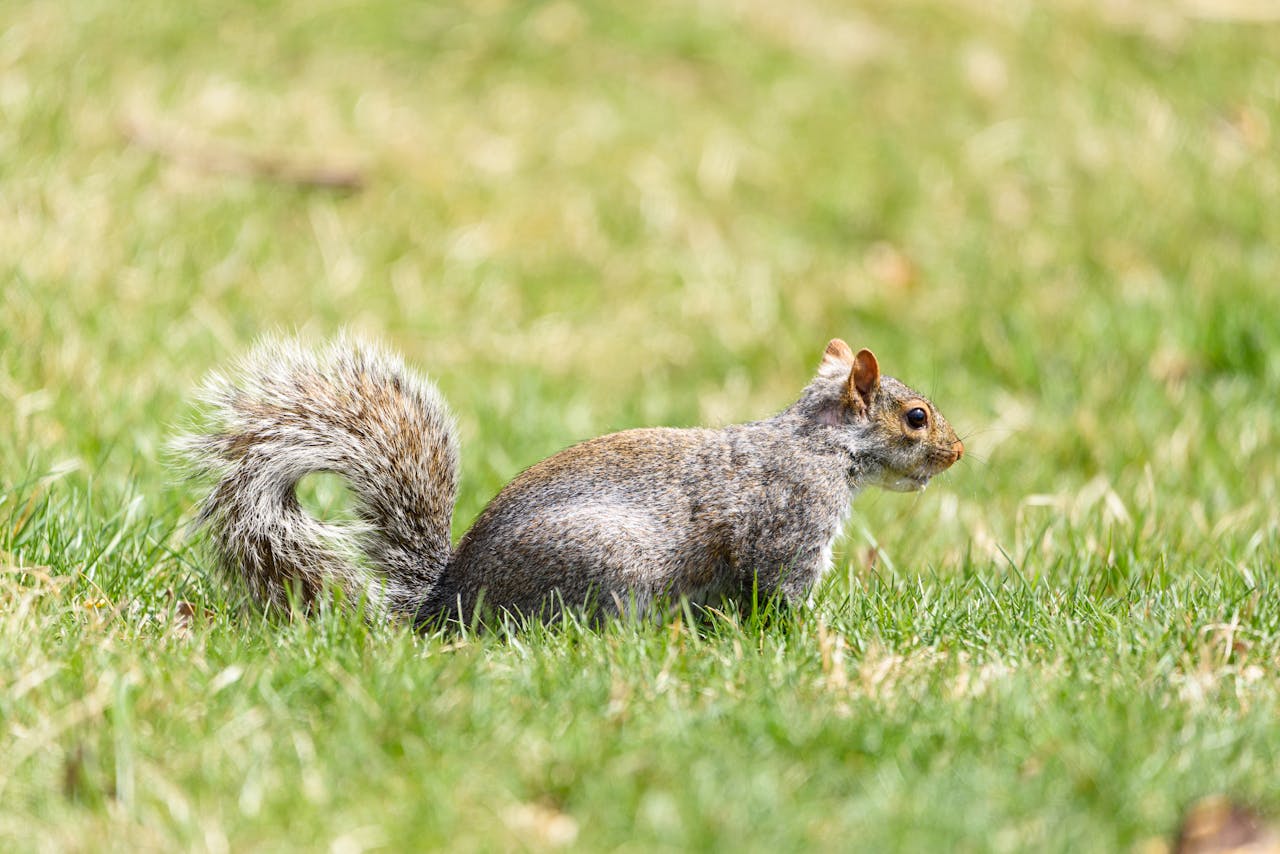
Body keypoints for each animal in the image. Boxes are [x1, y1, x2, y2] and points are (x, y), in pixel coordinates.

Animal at [175, 335, 963, 626]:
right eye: (916, 417)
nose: (958, 452)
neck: (821, 446)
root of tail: (448, 605)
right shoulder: (789, 527)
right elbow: (781, 595)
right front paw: (814, 635)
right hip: (608, 565)